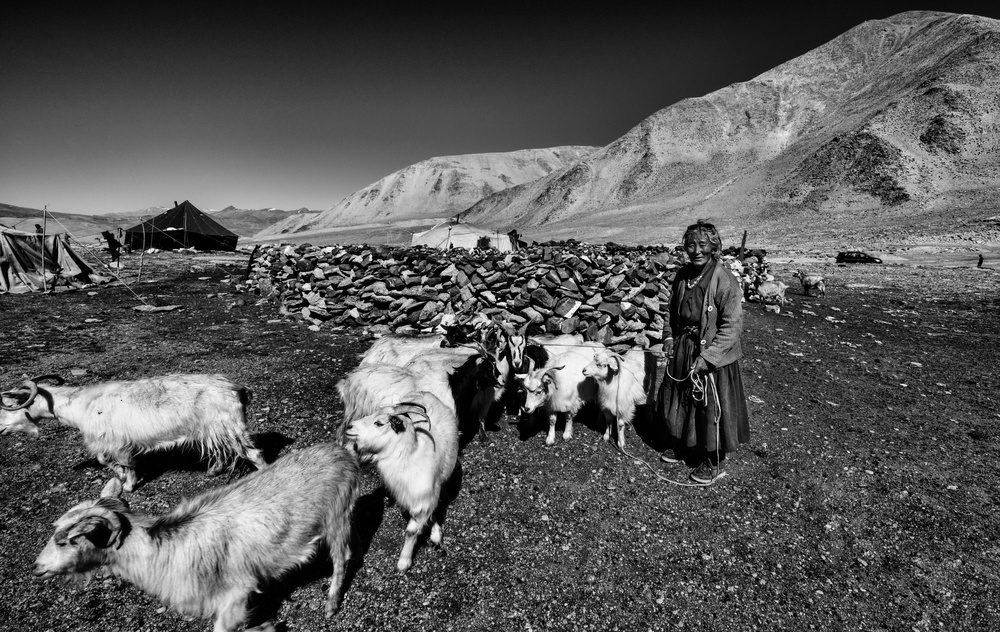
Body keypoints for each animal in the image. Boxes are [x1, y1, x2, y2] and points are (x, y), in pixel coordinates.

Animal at [0, 372, 266, 492]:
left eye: (8, 405)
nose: (1, 429)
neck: (81, 404)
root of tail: (239, 389)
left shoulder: (115, 442)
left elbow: (113, 461)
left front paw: (128, 484)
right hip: (213, 430)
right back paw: (214, 470)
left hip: (231, 427)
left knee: (254, 454)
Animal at [36, 442, 364, 632]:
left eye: (66, 540)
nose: (37, 567)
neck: (164, 548)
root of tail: (342, 451)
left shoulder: (236, 594)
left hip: (338, 516)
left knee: (343, 558)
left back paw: (331, 604)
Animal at [340, 392, 458, 576]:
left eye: (379, 423)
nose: (350, 427)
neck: (410, 457)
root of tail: (427, 394)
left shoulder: (423, 500)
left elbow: (411, 531)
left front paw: (404, 563)